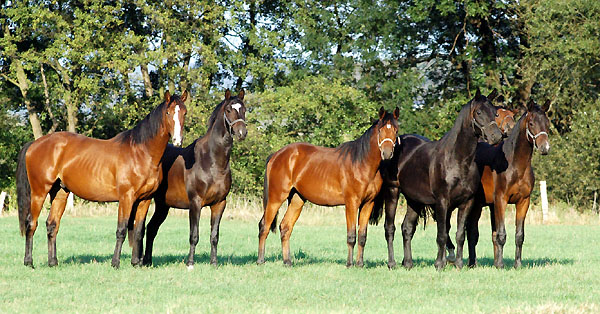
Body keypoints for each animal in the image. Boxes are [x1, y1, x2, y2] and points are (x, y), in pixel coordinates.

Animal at [16, 90, 188, 268]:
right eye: (168, 113)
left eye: (184, 113)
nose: (177, 140)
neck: (141, 153)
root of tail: (34, 144)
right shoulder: (126, 198)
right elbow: (122, 229)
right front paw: (115, 263)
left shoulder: (145, 200)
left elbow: (139, 231)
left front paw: (135, 263)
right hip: (39, 192)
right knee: (31, 223)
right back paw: (29, 262)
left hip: (60, 193)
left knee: (52, 225)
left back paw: (53, 262)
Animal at [142, 88, 247, 268]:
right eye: (228, 110)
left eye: (244, 109)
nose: (241, 133)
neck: (211, 161)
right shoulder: (195, 203)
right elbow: (194, 235)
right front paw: (190, 263)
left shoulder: (220, 204)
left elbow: (214, 236)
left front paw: (214, 263)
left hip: (163, 206)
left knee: (152, 228)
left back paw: (148, 261)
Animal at [256, 106, 398, 266]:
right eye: (380, 130)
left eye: (396, 130)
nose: (387, 153)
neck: (361, 163)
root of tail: (276, 155)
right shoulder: (352, 203)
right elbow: (351, 235)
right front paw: (350, 264)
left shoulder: (368, 203)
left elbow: (362, 236)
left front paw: (360, 264)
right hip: (276, 198)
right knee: (264, 226)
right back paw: (260, 260)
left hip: (297, 199)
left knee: (285, 227)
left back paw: (287, 262)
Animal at [368, 89, 504, 270]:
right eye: (479, 112)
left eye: (495, 113)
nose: (496, 136)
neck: (457, 160)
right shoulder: (442, 202)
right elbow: (442, 234)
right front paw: (439, 264)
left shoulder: (466, 202)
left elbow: (460, 234)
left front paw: (459, 264)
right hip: (393, 191)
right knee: (390, 228)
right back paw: (392, 263)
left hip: (414, 200)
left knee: (407, 228)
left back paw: (408, 263)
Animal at [460, 99, 552, 268]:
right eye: (531, 123)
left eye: (547, 123)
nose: (545, 148)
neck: (515, 165)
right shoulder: (501, 200)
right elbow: (501, 234)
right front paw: (501, 265)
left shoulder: (523, 201)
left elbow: (519, 235)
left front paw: (517, 264)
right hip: (475, 204)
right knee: (471, 232)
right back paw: (470, 262)